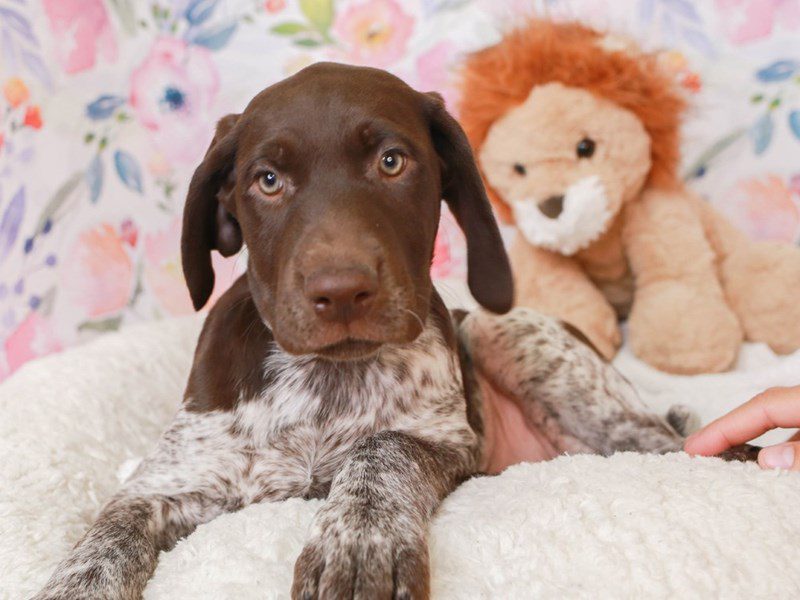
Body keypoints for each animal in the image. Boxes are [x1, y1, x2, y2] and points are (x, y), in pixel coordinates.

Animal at [31, 63, 740, 596]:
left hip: (513, 335)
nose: (341, 291)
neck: (325, 382)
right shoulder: (170, 484)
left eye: (392, 162)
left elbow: (382, 449)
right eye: (268, 180)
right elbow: (103, 537)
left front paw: (358, 543)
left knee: (668, 443)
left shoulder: (449, 444)